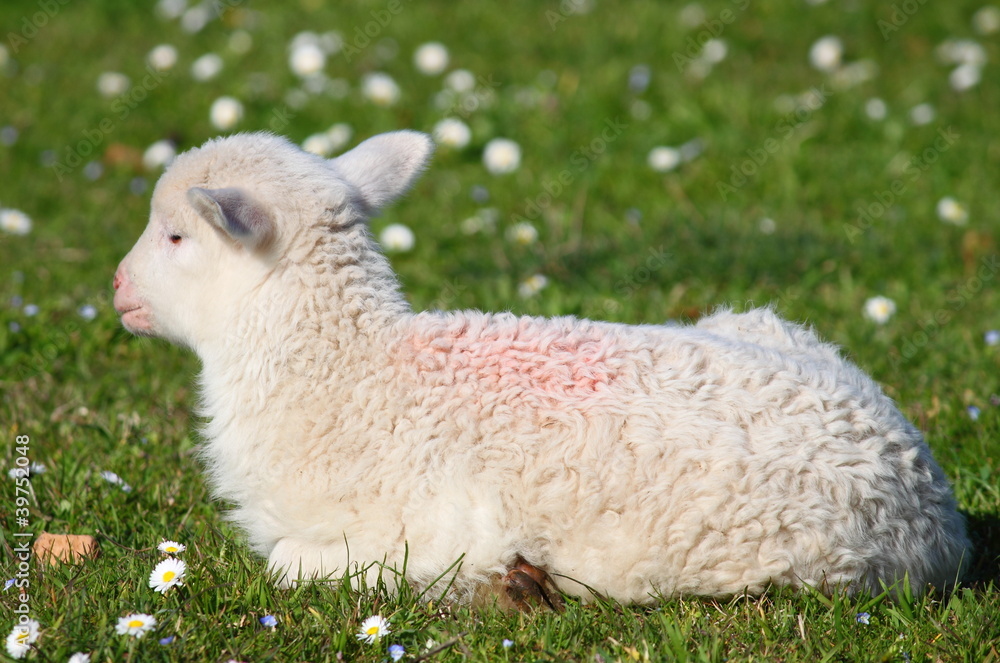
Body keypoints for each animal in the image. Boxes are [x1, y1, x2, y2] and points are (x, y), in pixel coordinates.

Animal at [113, 130, 971, 608]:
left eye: (177, 236)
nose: (117, 288)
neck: (347, 371)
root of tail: (938, 516)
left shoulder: (438, 530)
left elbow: (291, 562)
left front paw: (512, 588)